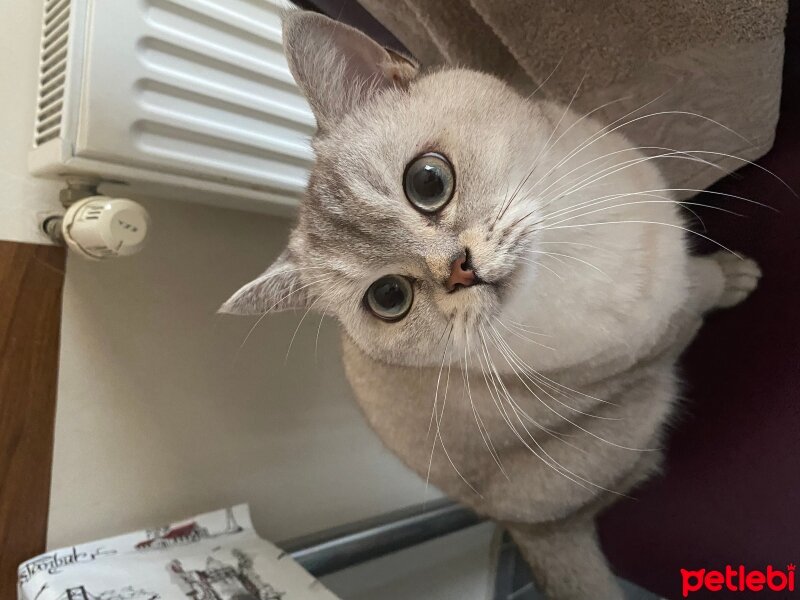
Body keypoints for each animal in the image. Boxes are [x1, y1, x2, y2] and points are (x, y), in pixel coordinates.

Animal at [222, 10, 760, 600]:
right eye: (389, 297)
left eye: (427, 181)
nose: (460, 271)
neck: (575, 262)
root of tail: (524, 531)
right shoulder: (660, 332)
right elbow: (699, 287)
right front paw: (735, 276)